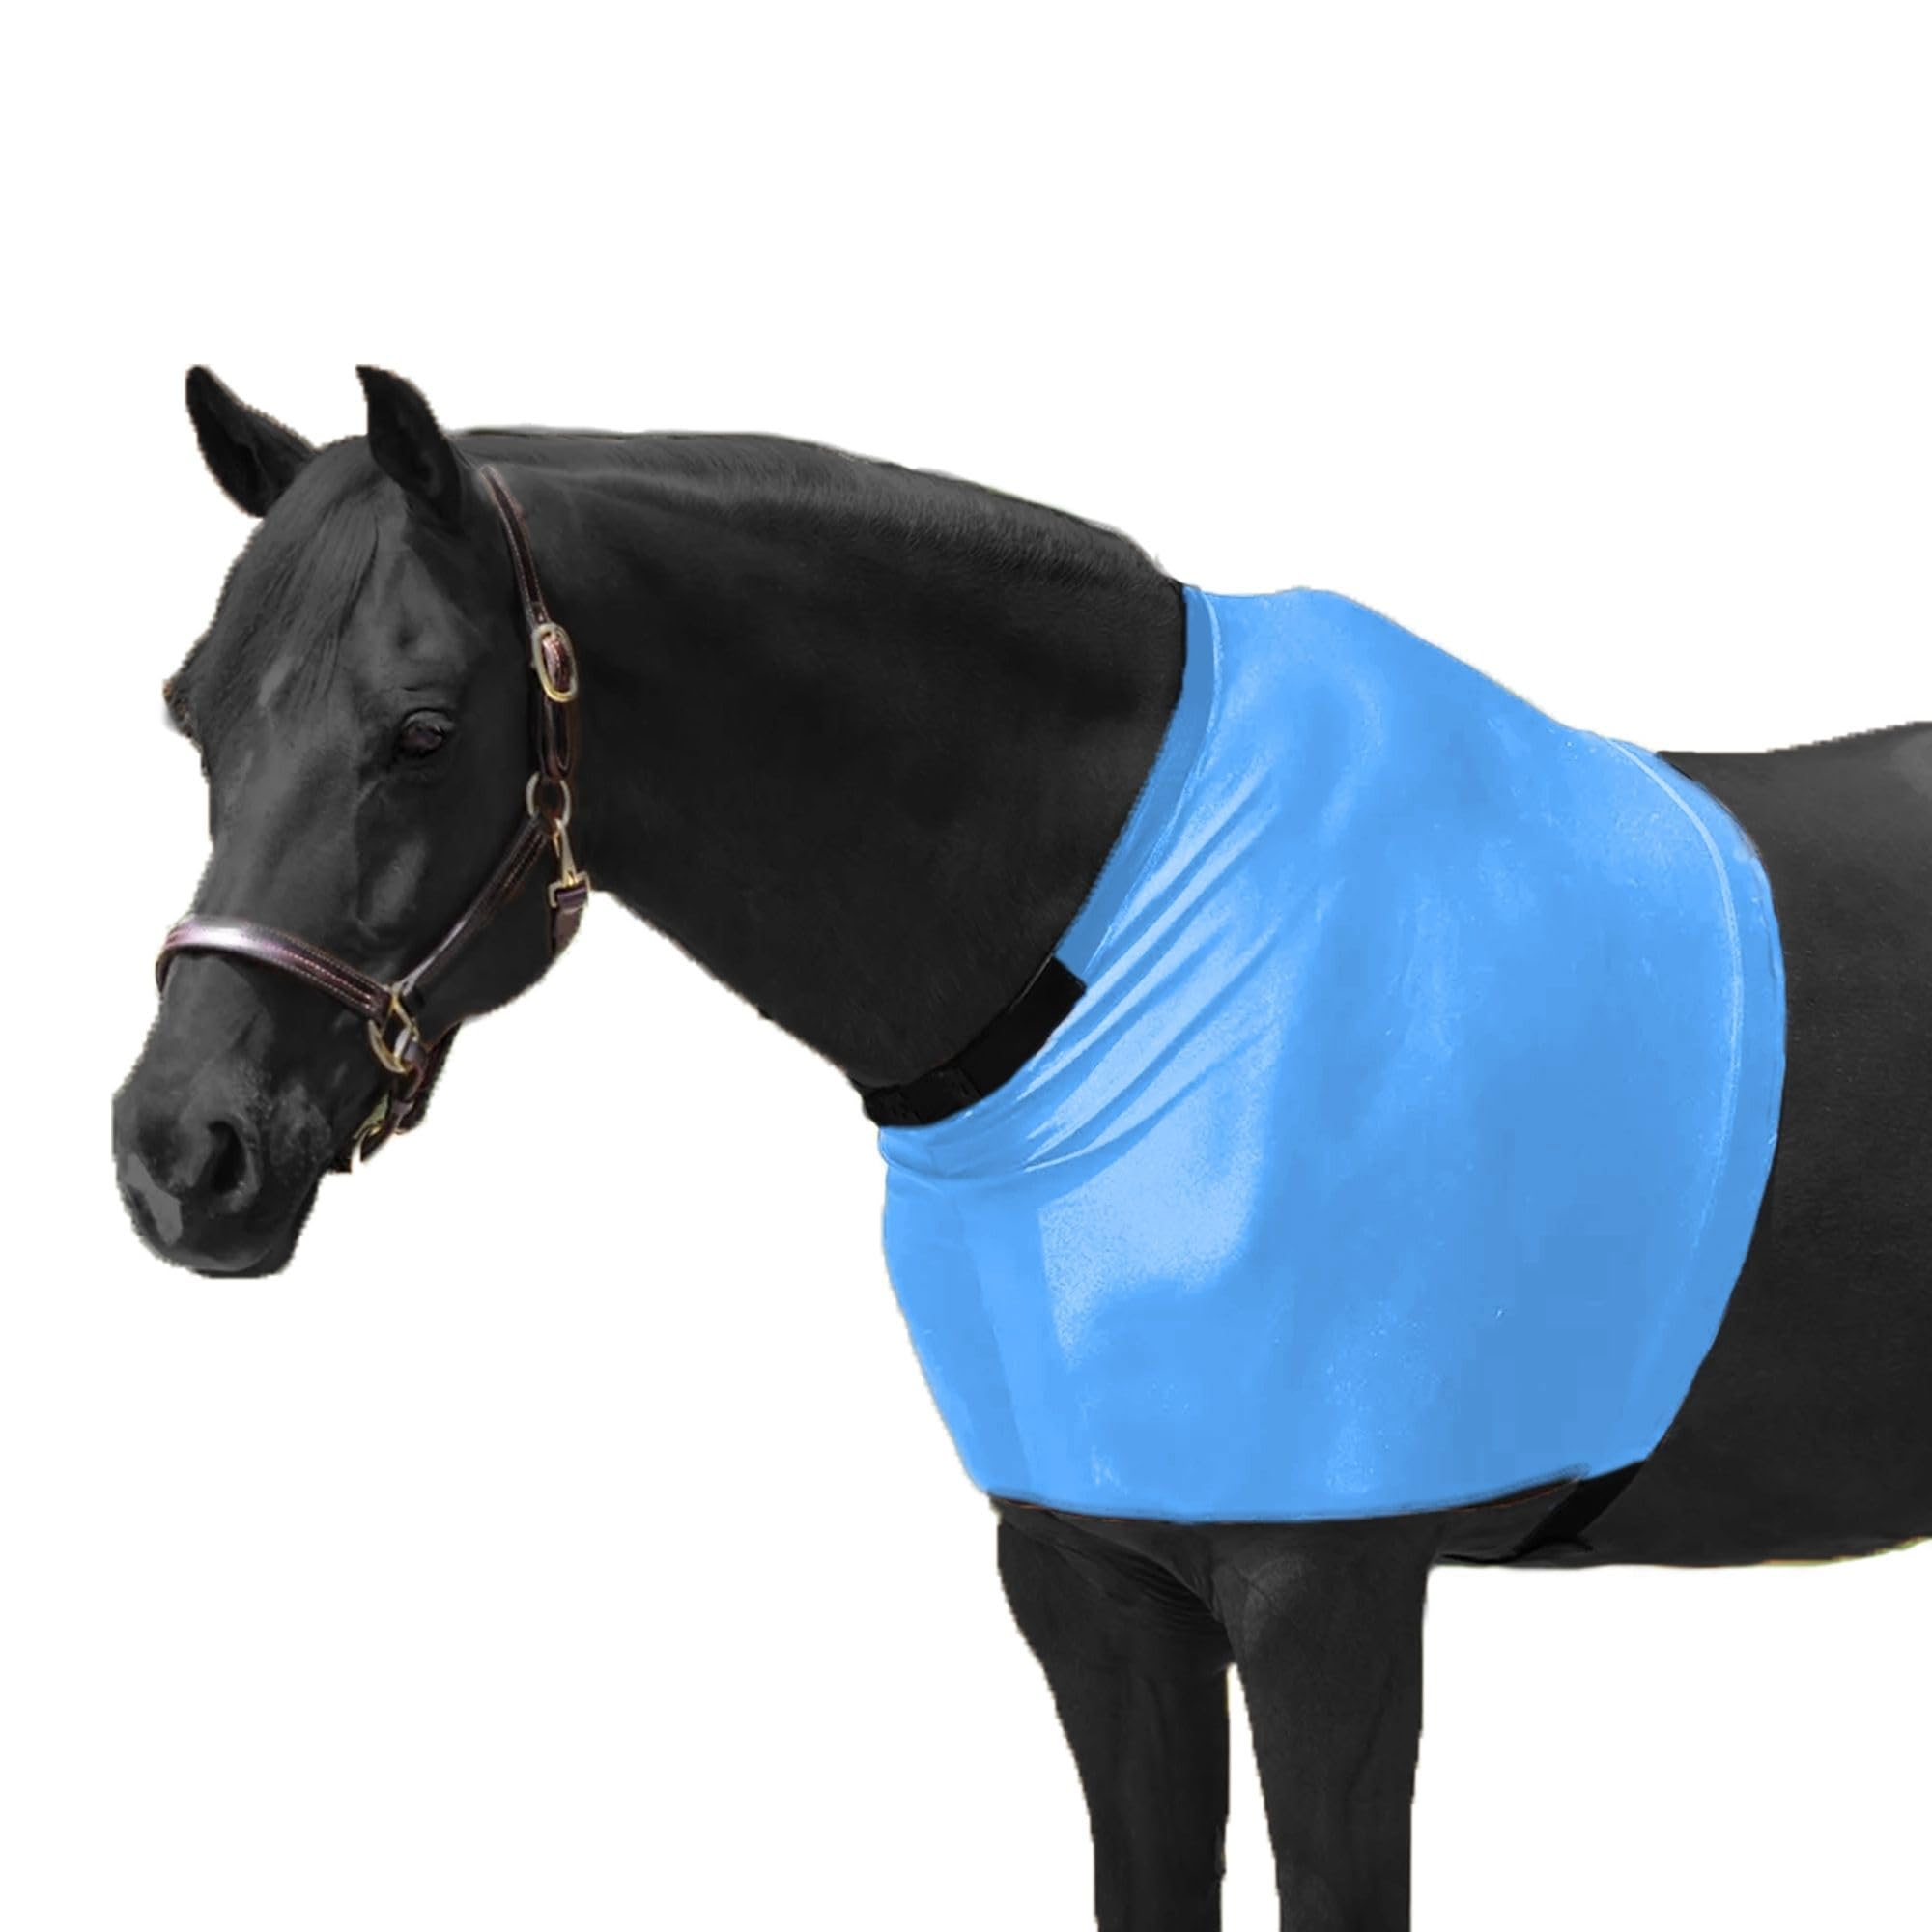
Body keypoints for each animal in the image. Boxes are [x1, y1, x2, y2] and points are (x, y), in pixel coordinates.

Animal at [113, 367, 1930, 1931]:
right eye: (191, 714)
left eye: (423, 728)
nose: (181, 1152)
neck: (1126, 944)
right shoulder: (1092, 1579)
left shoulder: (1328, 1598)